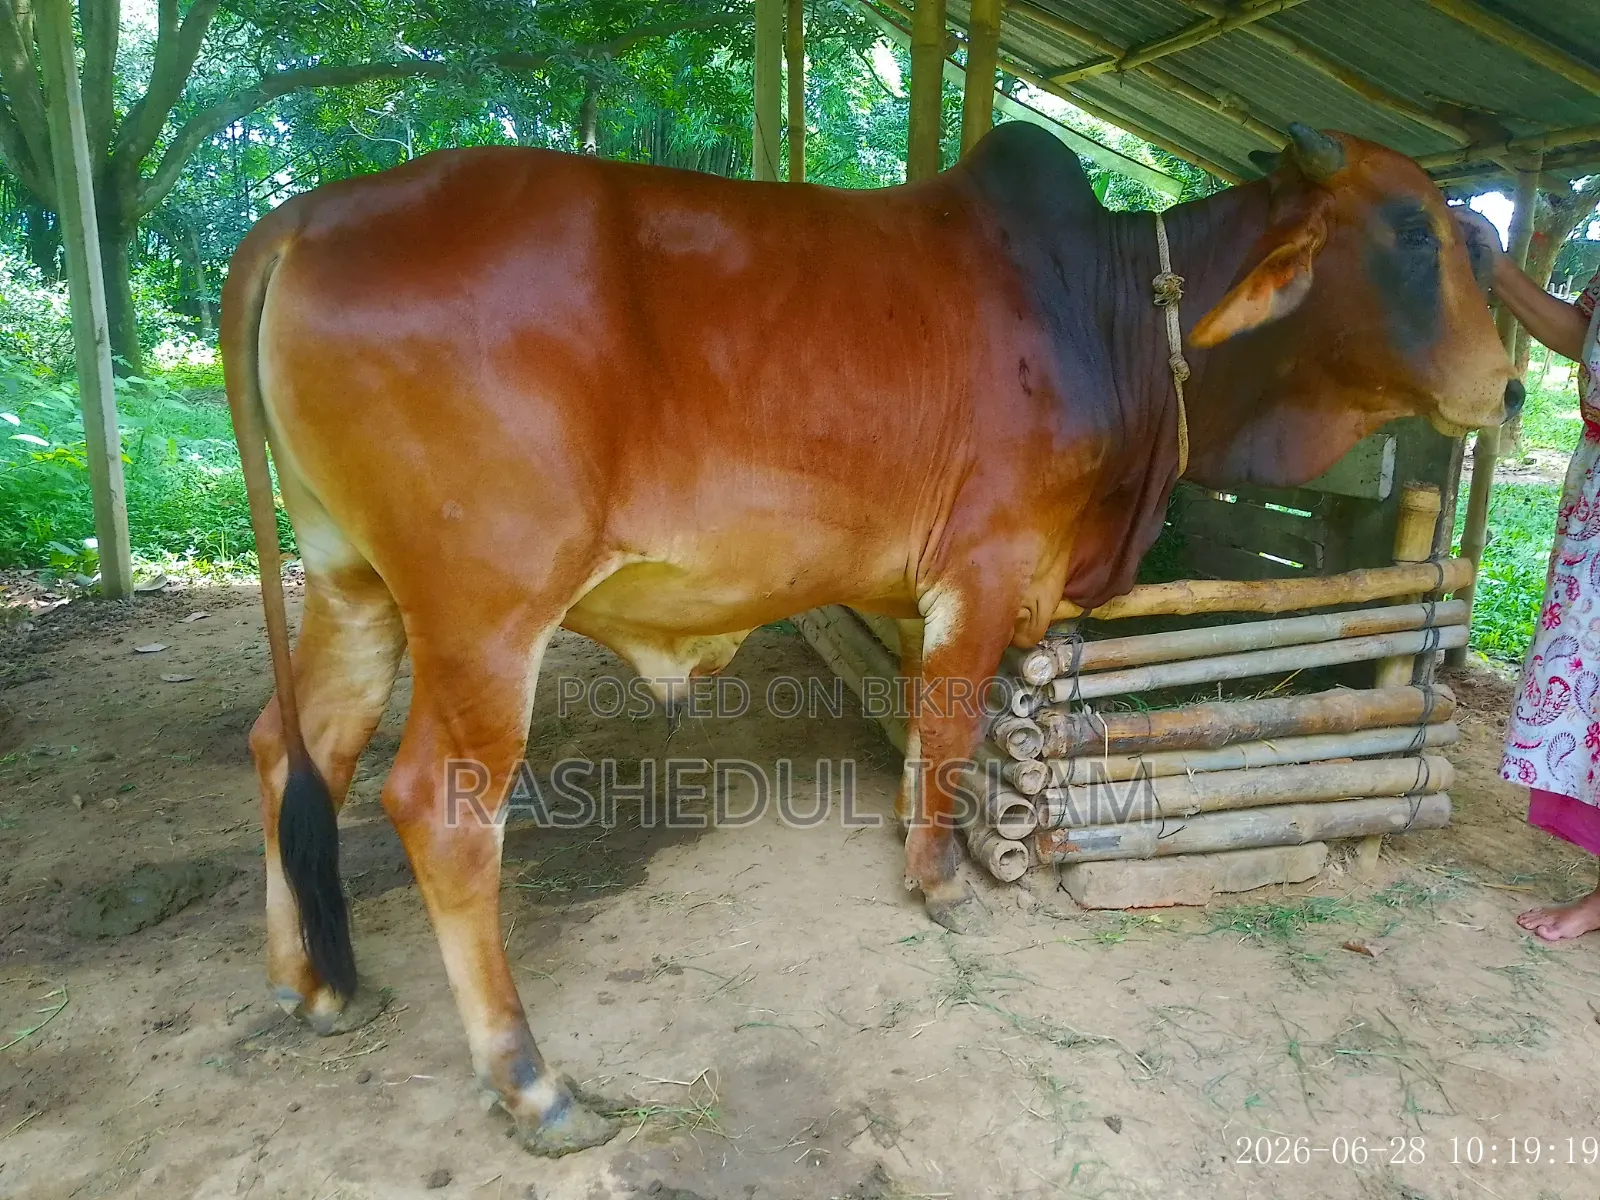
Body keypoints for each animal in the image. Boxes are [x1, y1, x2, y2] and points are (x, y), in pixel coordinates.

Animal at [221, 120, 1517, 1154]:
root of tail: (307, 213)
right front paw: (939, 884)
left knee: (293, 747)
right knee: (438, 805)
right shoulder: (985, 568)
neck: (1114, 314)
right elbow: (946, 722)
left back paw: (312, 987)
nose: (1506, 390)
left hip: (351, 585)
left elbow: (918, 725)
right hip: (485, 611)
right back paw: (534, 1085)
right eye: (1413, 231)